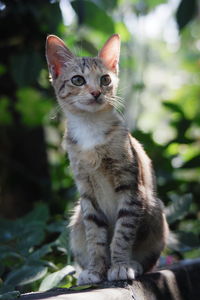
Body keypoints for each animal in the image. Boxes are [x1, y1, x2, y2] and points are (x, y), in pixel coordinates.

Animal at [45, 34, 169, 284]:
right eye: (78, 80)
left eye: (105, 79)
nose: (96, 92)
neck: (90, 129)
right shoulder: (87, 192)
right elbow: (96, 236)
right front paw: (96, 269)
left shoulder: (130, 186)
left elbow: (122, 233)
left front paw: (120, 265)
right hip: (77, 219)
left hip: (155, 210)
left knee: (149, 260)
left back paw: (134, 263)